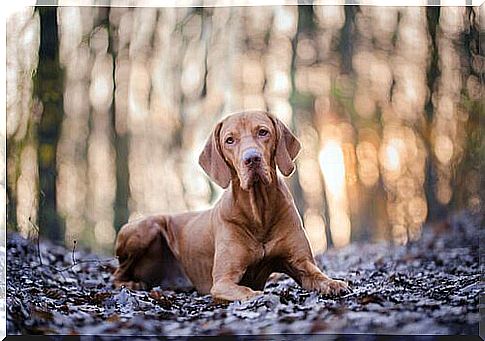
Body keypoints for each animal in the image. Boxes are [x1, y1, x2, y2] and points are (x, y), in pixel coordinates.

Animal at [113, 111, 348, 300]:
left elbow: (317, 275)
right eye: (229, 140)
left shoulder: (301, 263)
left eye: (263, 132)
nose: (251, 158)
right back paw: (132, 284)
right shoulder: (223, 281)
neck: (258, 211)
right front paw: (258, 296)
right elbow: (246, 291)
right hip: (146, 228)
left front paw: (334, 283)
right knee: (116, 274)